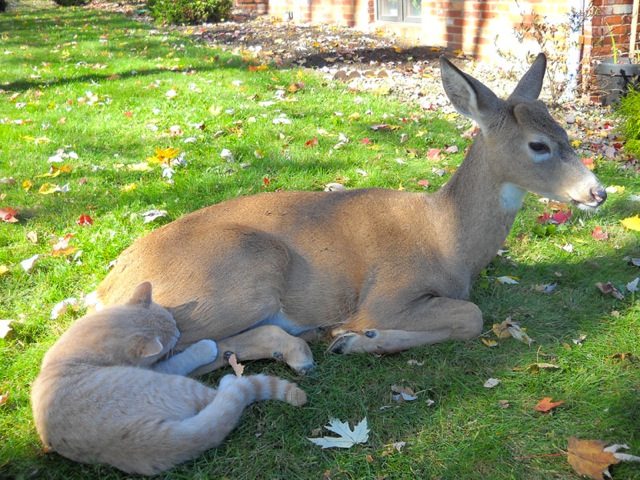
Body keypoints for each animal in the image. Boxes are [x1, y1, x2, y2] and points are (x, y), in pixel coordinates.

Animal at [31, 284, 306, 474]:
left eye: (173, 322)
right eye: (173, 337)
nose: (179, 332)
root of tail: (141, 441)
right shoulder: (162, 368)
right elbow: (182, 359)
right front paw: (205, 347)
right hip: (180, 386)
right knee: (225, 396)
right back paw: (229, 379)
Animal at [92, 55, 608, 376]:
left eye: (565, 132)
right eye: (538, 146)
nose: (598, 192)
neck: (448, 239)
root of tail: (107, 287)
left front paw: (348, 338)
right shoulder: (387, 293)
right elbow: (471, 316)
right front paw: (357, 338)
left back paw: (299, 348)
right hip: (239, 274)